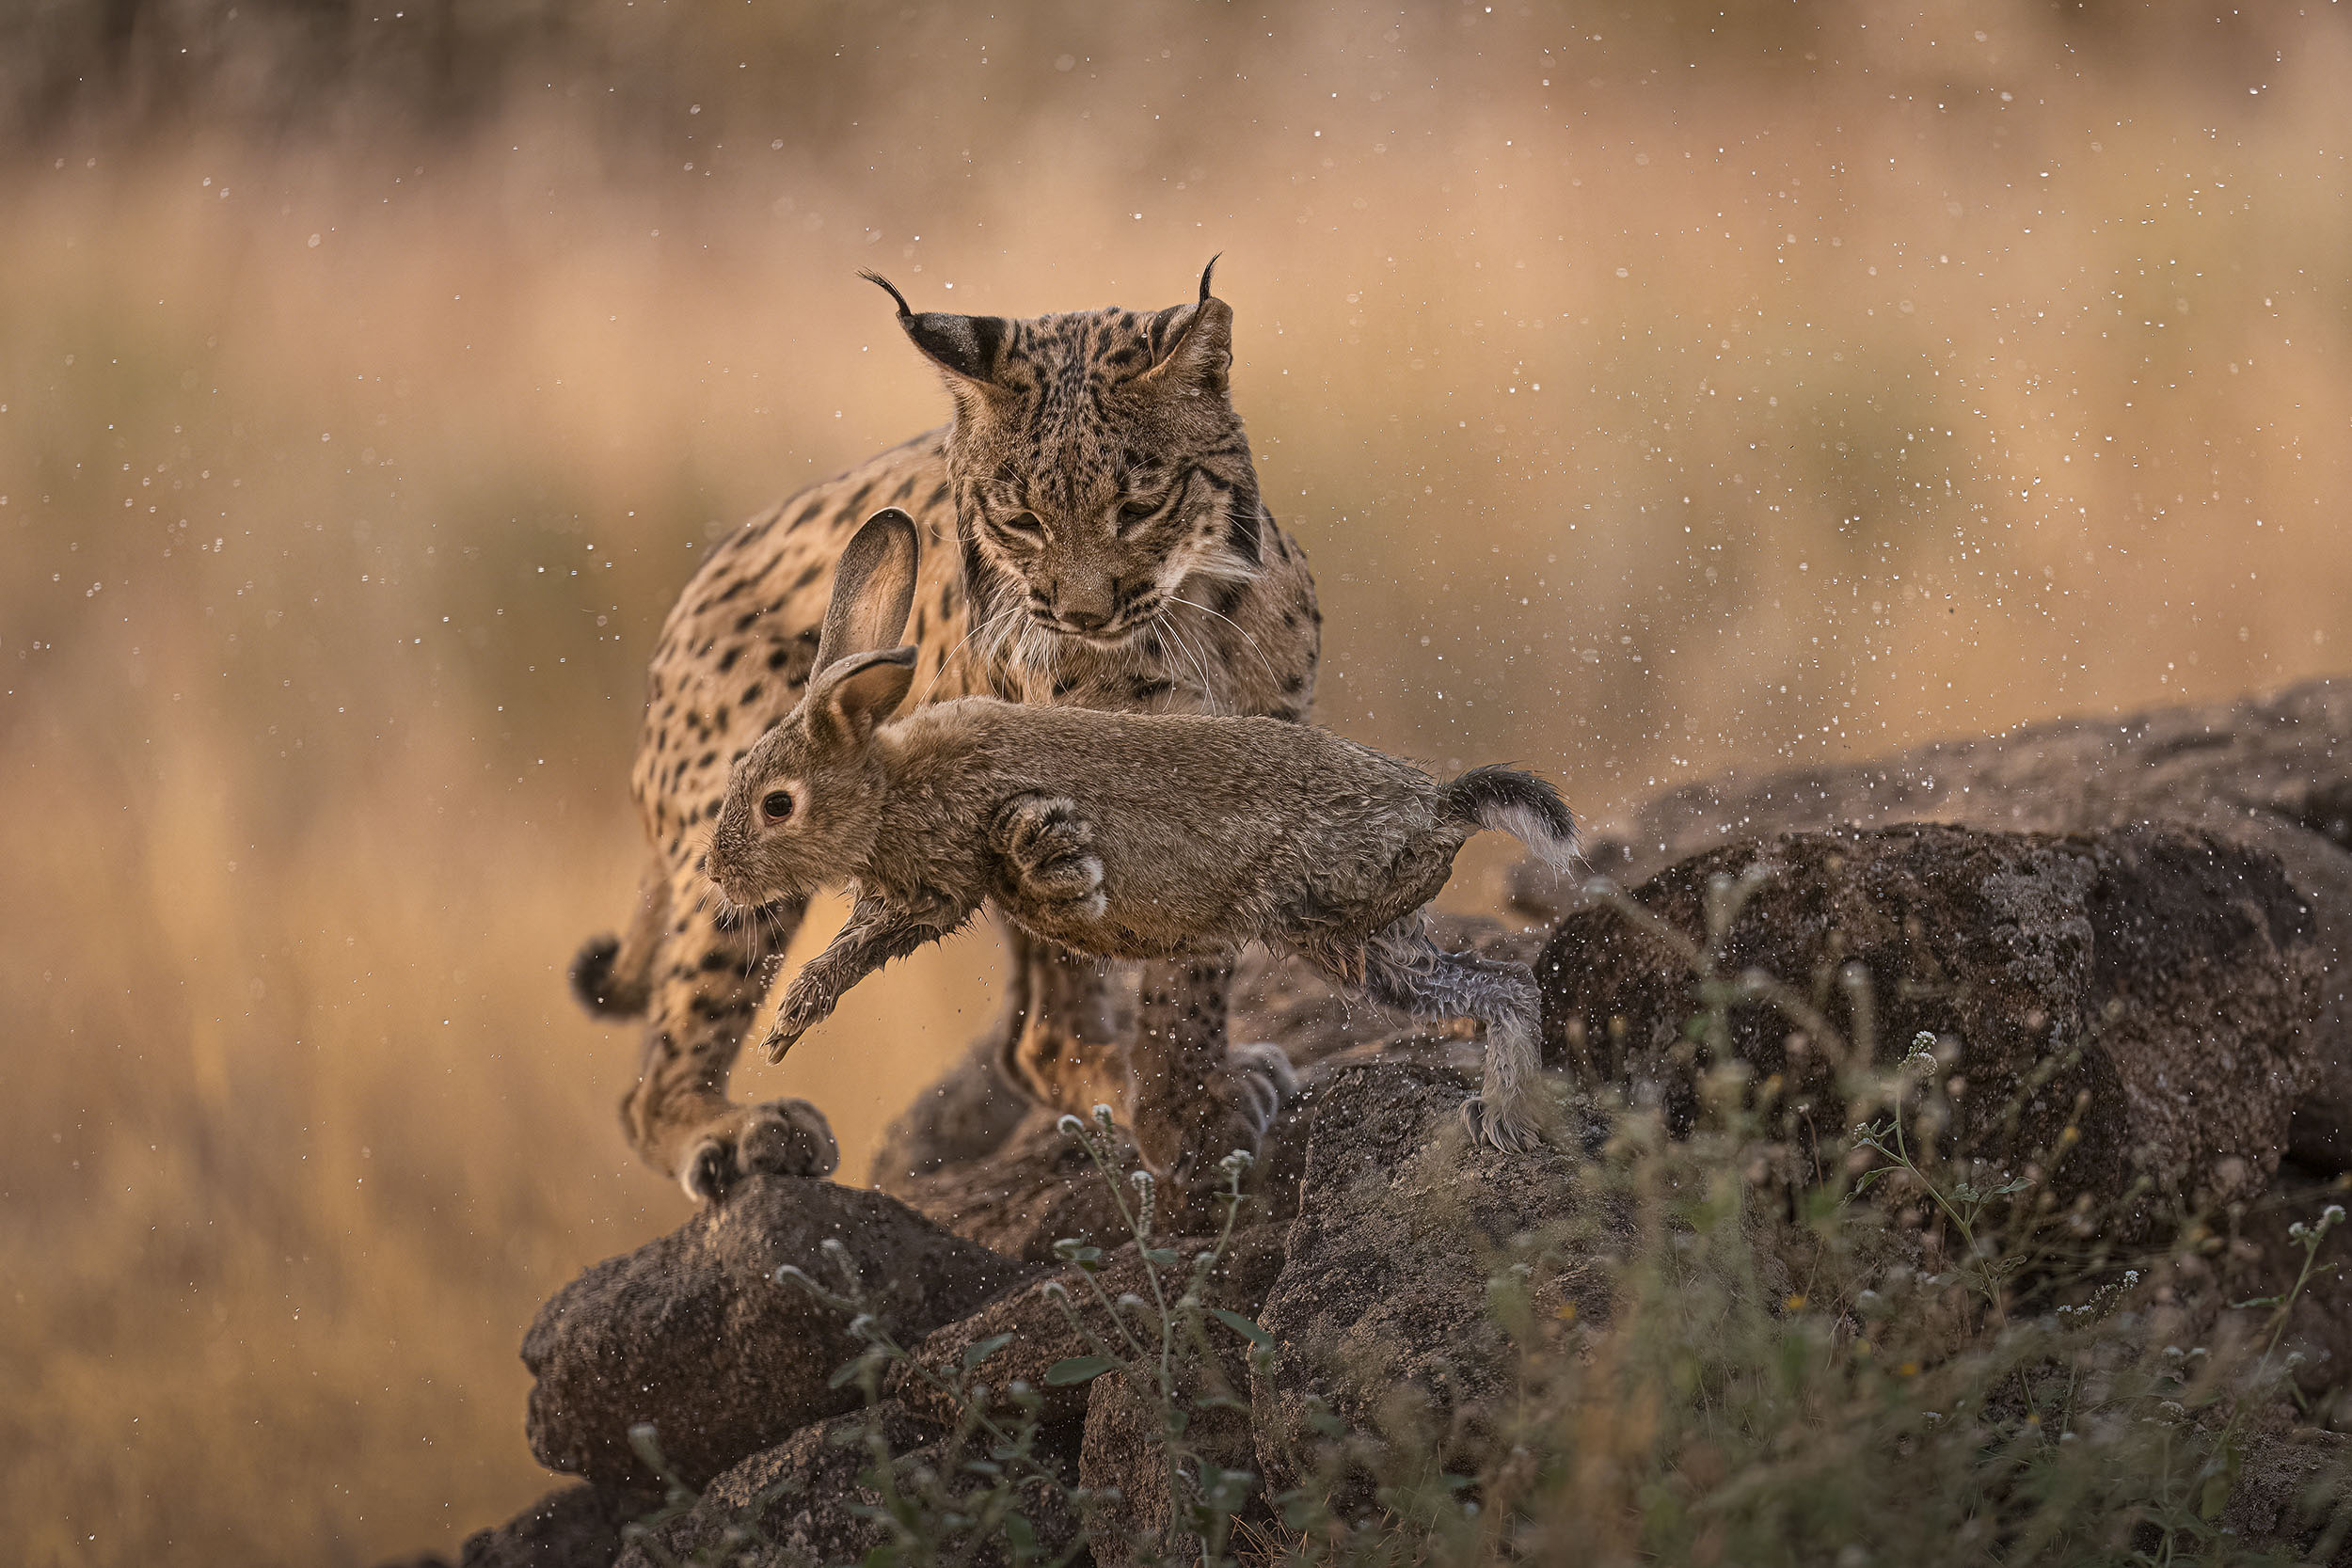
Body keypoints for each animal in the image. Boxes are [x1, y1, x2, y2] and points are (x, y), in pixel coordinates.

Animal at [702, 509, 1579, 1152]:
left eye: (777, 804)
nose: (718, 872)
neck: (888, 784)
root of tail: (1438, 806)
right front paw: (787, 1028)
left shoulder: (937, 885)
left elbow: (864, 944)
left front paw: (790, 1017)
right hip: (1365, 941)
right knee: (1503, 985)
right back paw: (1504, 1116)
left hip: (1327, 914)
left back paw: (1504, 1120)